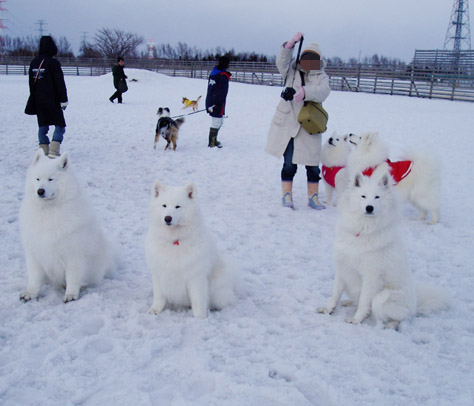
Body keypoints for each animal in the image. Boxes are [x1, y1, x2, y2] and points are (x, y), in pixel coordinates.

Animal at [19, 151, 115, 302]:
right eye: (37, 179)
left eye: (51, 179)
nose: (40, 191)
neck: (49, 211)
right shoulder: (35, 253)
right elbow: (34, 278)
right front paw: (30, 293)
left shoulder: (74, 255)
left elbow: (73, 278)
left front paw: (71, 295)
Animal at [145, 180, 241, 318]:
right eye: (164, 205)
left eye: (178, 206)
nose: (167, 218)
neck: (174, 241)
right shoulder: (159, 274)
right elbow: (159, 297)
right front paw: (154, 310)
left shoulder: (196, 278)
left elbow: (197, 301)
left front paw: (200, 318)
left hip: (217, 291)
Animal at [318, 163, 448, 328]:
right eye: (363, 196)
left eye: (377, 197)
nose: (369, 207)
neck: (363, 230)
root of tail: (415, 304)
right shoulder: (343, 268)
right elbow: (334, 294)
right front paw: (328, 309)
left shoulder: (371, 276)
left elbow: (364, 302)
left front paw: (356, 319)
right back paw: (348, 302)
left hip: (383, 297)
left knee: (400, 316)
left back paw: (389, 325)